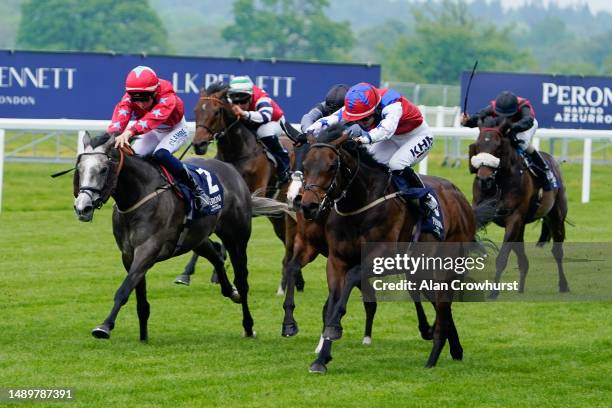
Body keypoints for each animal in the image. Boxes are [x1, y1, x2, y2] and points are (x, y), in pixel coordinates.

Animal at [184, 82, 304, 294]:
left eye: (216, 112)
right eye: (196, 110)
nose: (199, 144)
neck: (237, 152)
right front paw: (188, 273)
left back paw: (284, 286)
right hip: (278, 215)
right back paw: (297, 281)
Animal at [298, 124, 480, 372]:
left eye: (332, 166)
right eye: (305, 165)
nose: (308, 206)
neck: (360, 204)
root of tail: (460, 198)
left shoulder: (383, 258)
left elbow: (351, 279)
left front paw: (334, 329)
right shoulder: (336, 260)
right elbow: (333, 303)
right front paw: (321, 358)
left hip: (446, 266)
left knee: (443, 304)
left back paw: (433, 358)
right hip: (420, 269)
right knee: (441, 306)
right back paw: (454, 347)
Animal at [468, 116, 568, 298]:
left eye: (498, 146)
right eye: (477, 145)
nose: (484, 179)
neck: (500, 182)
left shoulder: (514, 218)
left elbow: (502, 258)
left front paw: (493, 292)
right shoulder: (482, 211)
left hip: (556, 217)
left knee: (557, 252)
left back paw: (563, 285)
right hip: (522, 226)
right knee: (523, 259)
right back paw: (520, 288)